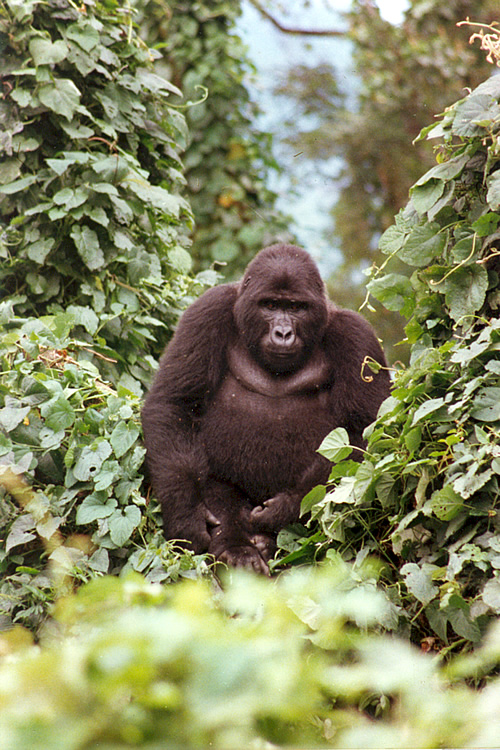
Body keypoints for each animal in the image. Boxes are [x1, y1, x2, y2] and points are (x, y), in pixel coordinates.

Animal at [142, 244, 390, 572]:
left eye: (296, 307)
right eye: (270, 305)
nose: (283, 333)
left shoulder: (356, 336)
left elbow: (367, 431)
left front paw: (288, 505)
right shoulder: (208, 310)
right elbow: (175, 404)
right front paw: (186, 515)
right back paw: (236, 548)